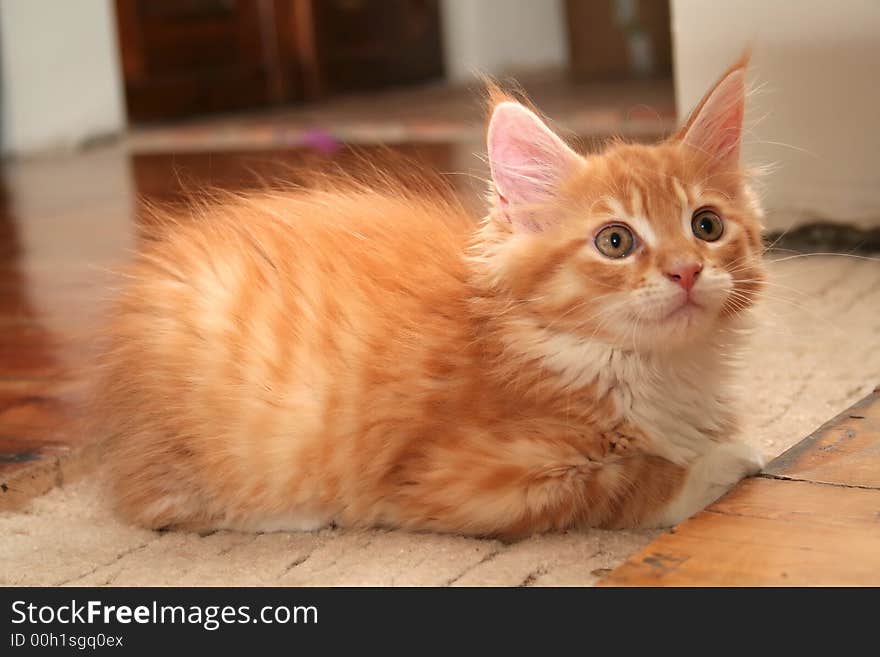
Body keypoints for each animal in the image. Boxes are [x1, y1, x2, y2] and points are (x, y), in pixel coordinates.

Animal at [96, 56, 768, 540]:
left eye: (706, 226)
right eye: (616, 241)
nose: (686, 271)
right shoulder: (461, 481)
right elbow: (622, 486)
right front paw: (720, 465)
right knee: (163, 506)